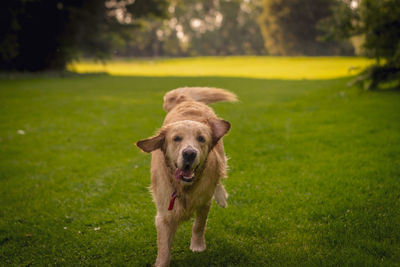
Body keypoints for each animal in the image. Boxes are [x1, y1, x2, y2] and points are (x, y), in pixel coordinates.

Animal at [138, 87, 238, 266]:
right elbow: (164, 247)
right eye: (176, 138)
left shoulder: (204, 202)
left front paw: (197, 246)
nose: (190, 153)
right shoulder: (164, 215)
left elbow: (198, 225)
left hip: (220, 155)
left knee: (220, 175)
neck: (183, 187)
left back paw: (221, 197)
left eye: (201, 138)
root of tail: (186, 101)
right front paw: (161, 262)